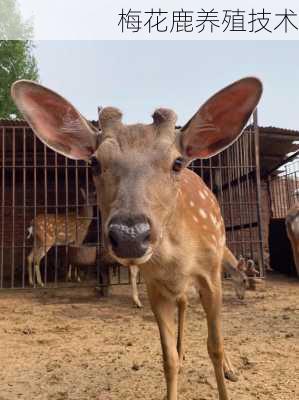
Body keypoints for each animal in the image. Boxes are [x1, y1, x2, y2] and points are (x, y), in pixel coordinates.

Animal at [12, 76, 262, 400]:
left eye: (177, 162)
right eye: (94, 162)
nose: (130, 235)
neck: (177, 257)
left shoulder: (209, 274)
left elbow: (215, 347)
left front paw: (227, 375)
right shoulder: (155, 284)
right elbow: (167, 359)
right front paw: (173, 375)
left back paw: (230, 367)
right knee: (183, 305)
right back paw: (183, 350)